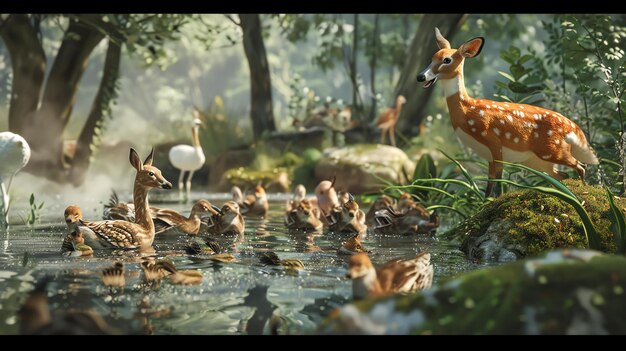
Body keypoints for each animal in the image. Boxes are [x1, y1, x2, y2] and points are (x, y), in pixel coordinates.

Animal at [416, 27, 596, 198]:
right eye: (432, 57)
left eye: (447, 60)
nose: (420, 77)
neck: (468, 110)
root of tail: (572, 127)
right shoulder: (487, 154)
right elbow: (489, 183)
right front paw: (483, 203)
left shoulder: (494, 141)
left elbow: (499, 179)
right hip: (536, 160)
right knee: (563, 175)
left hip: (552, 149)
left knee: (581, 166)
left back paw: (585, 193)